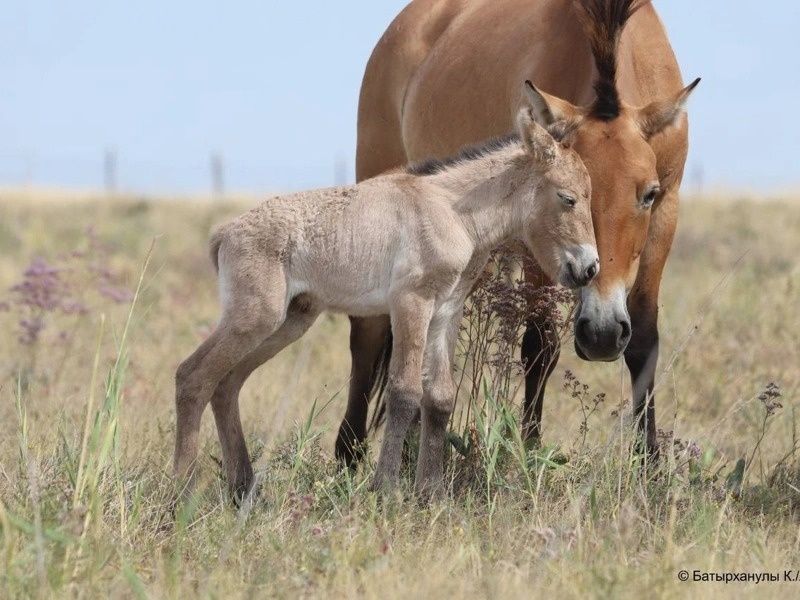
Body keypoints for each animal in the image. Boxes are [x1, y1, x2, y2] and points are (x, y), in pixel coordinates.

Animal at [173, 96, 599, 501]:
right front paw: (388, 491)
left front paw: (432, 493)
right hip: (255, 318)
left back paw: (244, 490)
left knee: (226, 384)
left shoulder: (445, 311)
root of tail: (225, 232)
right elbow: (405, 392)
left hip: (289, 321)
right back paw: (181, 493)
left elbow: (440, 397)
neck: (453, 212)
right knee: (193, 376)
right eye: (568, 198)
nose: (589, 268)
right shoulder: (411, 302)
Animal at [335, 0, 699, 468]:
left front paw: (649, 465)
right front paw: (528, 452)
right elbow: (540, 345)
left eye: (648, 194)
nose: (601, 335)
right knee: (368, 333)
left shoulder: (666, 215)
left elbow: (644, 340)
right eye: (562, 196)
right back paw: (350, 452)